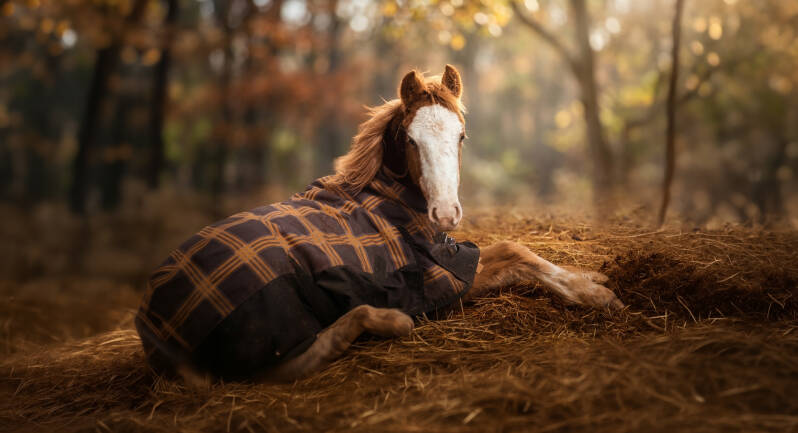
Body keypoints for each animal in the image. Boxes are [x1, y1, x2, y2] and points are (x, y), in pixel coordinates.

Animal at [135, 65, 623, 382]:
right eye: (410, 140)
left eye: (461, 136)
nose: (446, 213)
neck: (387, 199)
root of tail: (151, 319)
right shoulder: (441, 275)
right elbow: (516, 252)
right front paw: (597, 295)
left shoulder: (451, 258)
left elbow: (514, 251)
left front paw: (591, 276)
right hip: (274, 325)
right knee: (284, 367)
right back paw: (387, 320)